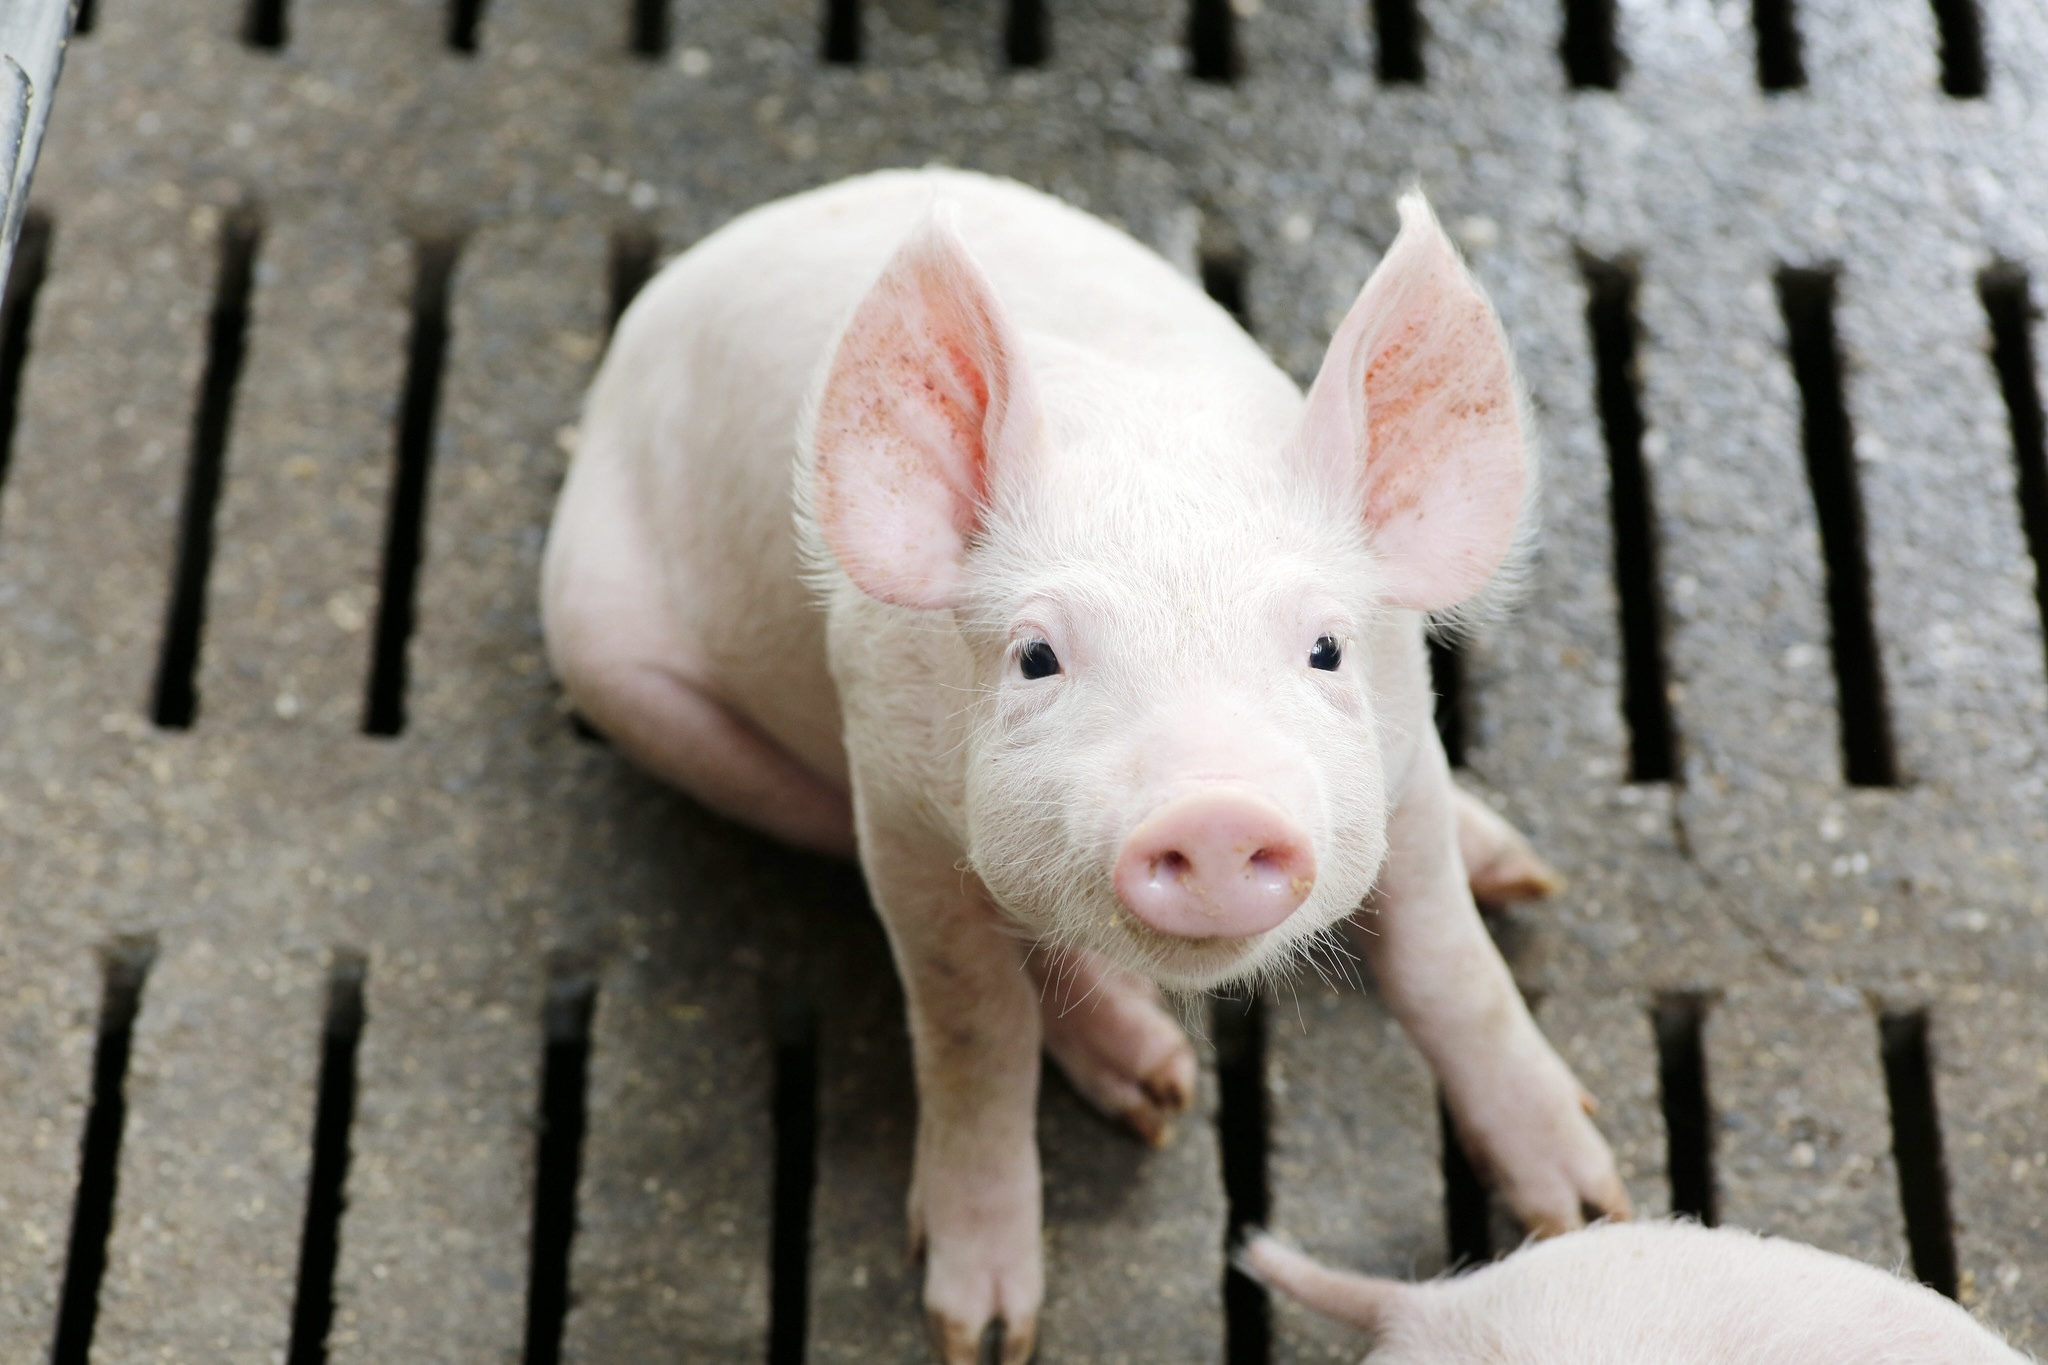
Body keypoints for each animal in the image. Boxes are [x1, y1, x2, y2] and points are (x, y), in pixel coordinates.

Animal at [541, 168, 1625, 1362]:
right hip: (632, 683)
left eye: (1325, 647)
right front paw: (979, 1331)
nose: (1210, 810)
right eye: (1036, 656)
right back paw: (1156, 1084)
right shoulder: (889, 795)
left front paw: (1587, 1208)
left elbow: (1447, 963)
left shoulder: (1409, 752)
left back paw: (1504, 876)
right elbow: (972, 1022)